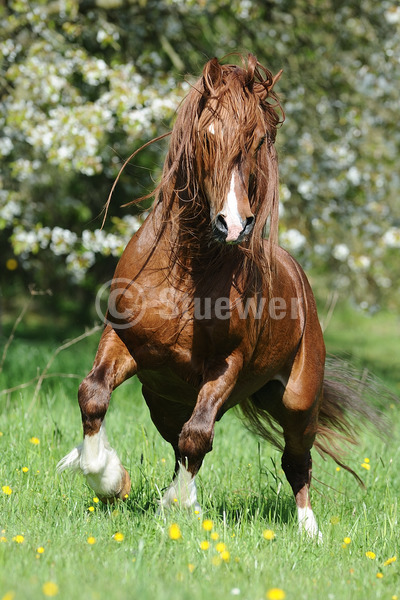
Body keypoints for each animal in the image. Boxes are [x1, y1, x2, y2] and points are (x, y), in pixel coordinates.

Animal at [57, 55, 370, 540]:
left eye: (257, 139)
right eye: (207, 133)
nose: (234, 224)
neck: (186, 274)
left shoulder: (227, 364)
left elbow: (198, 437)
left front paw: (177, 505)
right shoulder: (123, 340)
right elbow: (93, 394)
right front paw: (109, 479)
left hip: (296, 400)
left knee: (294, 461)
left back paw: (309, 531)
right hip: (163, 400)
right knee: (179, 442)